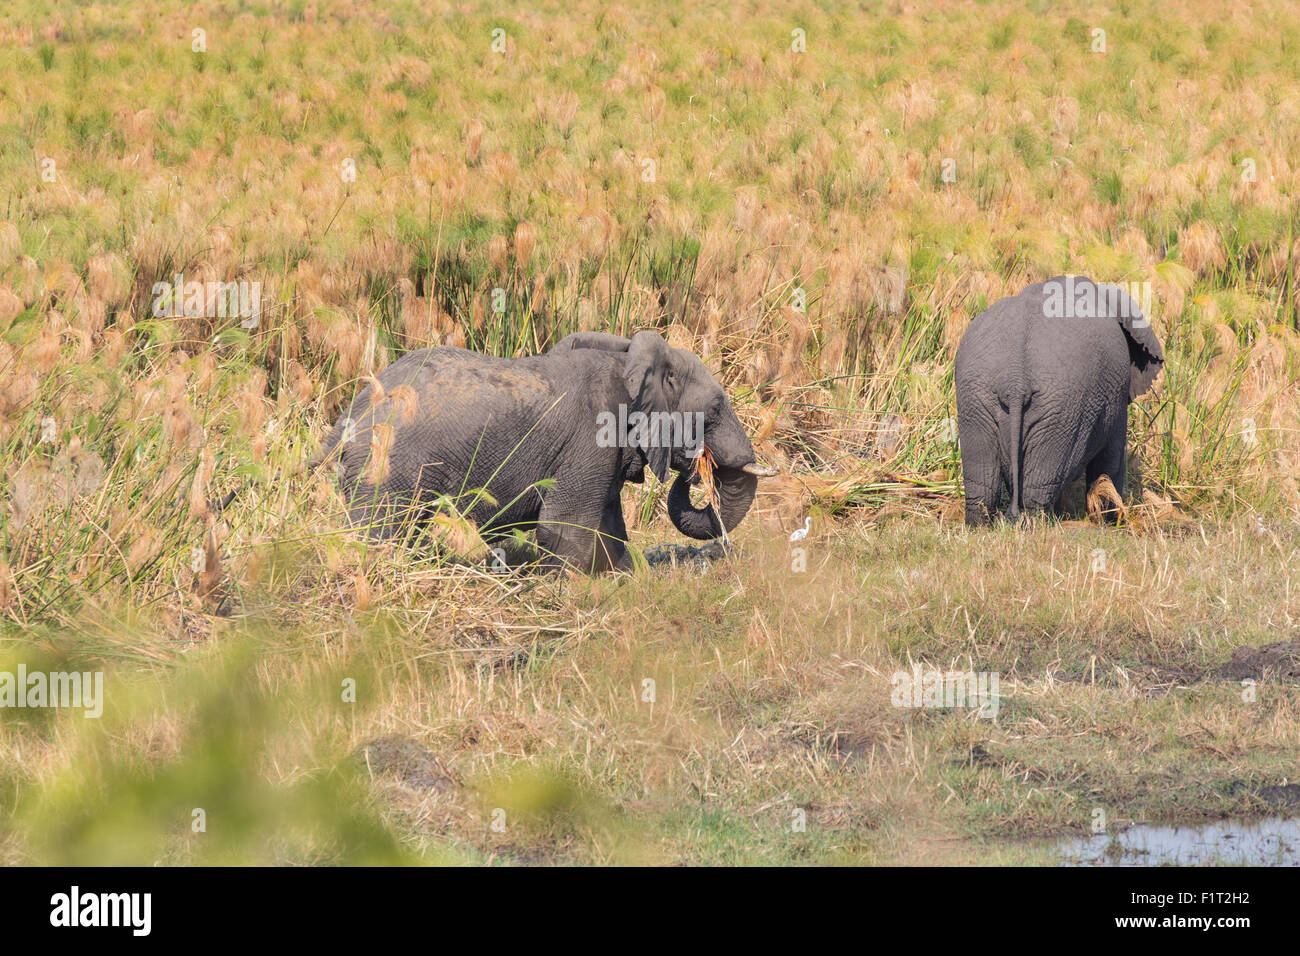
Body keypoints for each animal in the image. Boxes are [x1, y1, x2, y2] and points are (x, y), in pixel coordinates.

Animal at [314, 330, 774, 567]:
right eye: (715, 410)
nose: (697, 469)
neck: (628, 359)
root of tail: (348, 416)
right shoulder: (589, 438)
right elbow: (567, 529)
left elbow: (608, 529)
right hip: (387, 469)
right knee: (382, 532)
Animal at [956, 273, 1170, 528]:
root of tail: (1015, 379)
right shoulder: (1117, 395)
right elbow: (1112, 455)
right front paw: (1112, 522)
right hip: (1062, 409)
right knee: (1040, 482)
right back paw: (1038, 525)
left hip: (976, 395)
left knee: (983, 479)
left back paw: (980, 525)